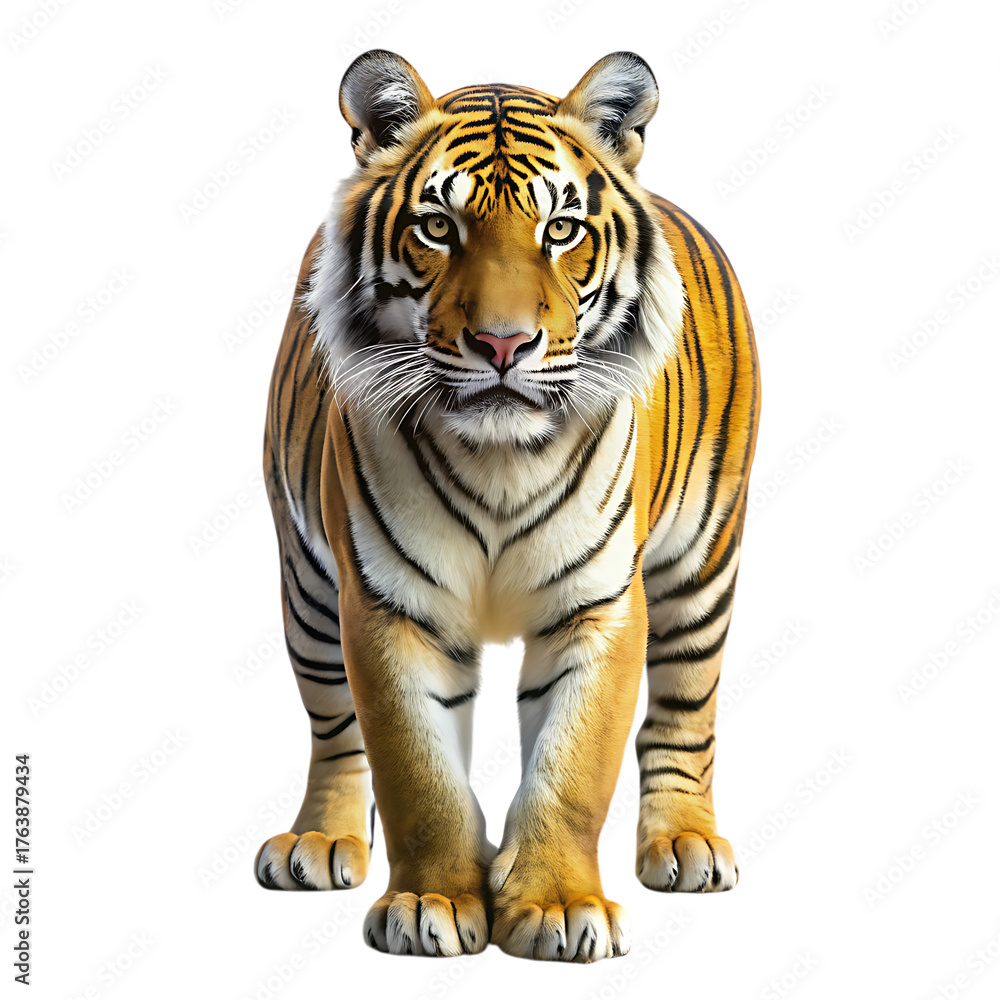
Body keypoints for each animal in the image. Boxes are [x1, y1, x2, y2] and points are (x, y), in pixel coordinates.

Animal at [256, 49, 760, 963]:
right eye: (438, 227)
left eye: (560, 230)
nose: (502, 344)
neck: (500, 460)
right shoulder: (384, 606)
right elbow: (415, 769)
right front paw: (431, 903)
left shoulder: (601, 605)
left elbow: (573, 767)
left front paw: (558, 906)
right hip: (306, 591)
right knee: (334, 730)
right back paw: (320, 841)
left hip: (704, 567)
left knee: (684, 708)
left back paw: (686, 844)